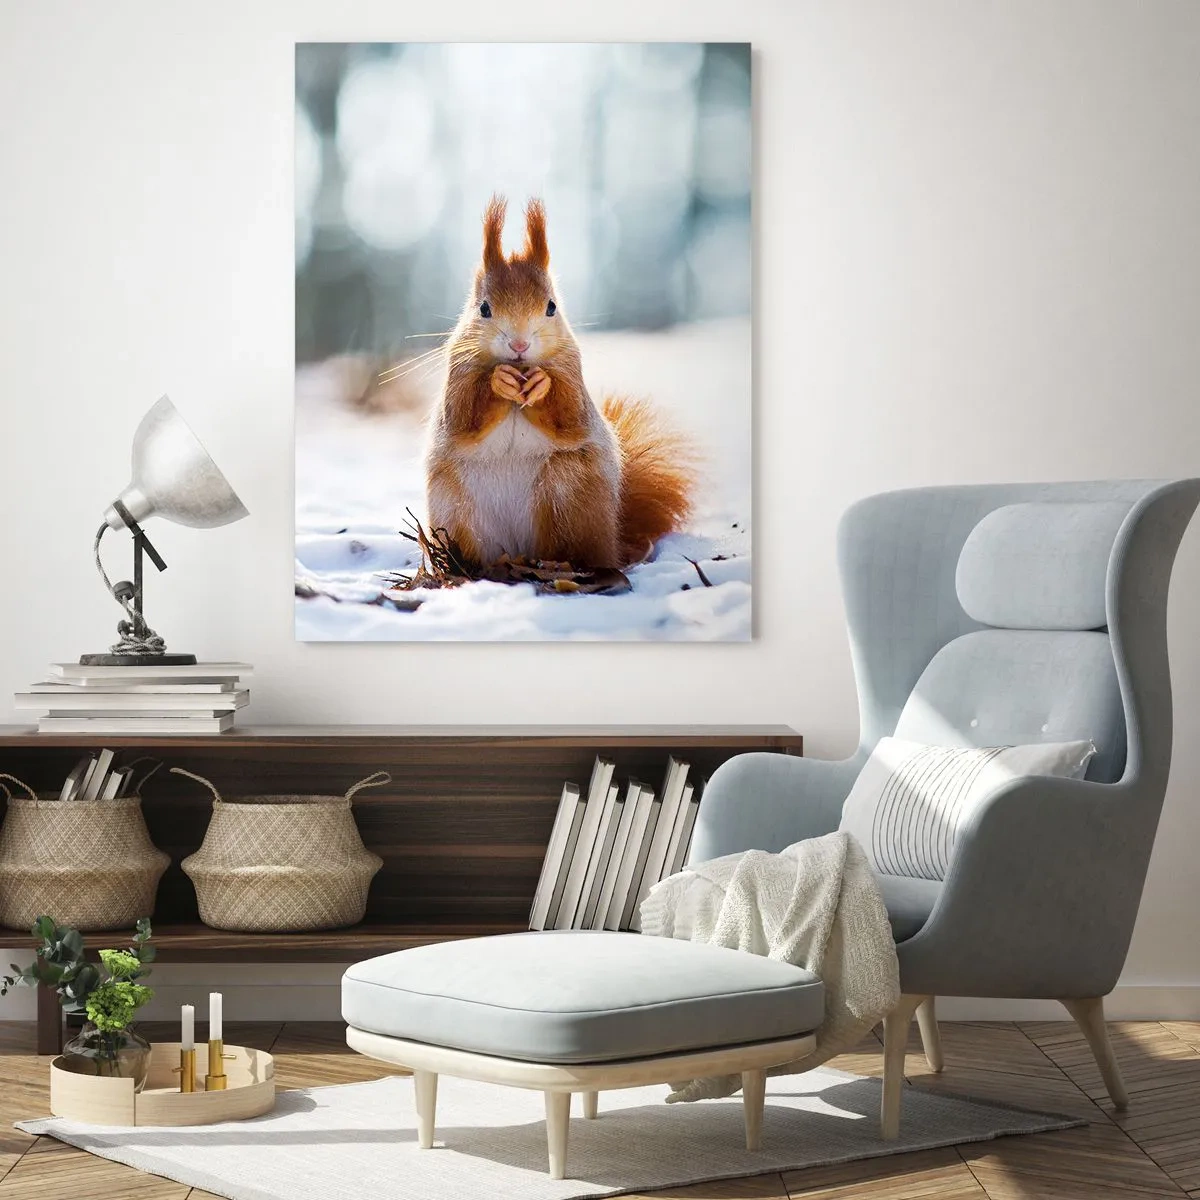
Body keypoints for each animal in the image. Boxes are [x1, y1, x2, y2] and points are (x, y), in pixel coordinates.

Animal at [425, 196, 696, 570]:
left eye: (551, 307)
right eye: (484, 309)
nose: (519, 345)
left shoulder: (572, 374)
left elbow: (569, 415)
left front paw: (542, 385)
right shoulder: (458, 374)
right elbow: (463, 416)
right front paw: (498, 380)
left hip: (568, 491)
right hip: (455, 508)